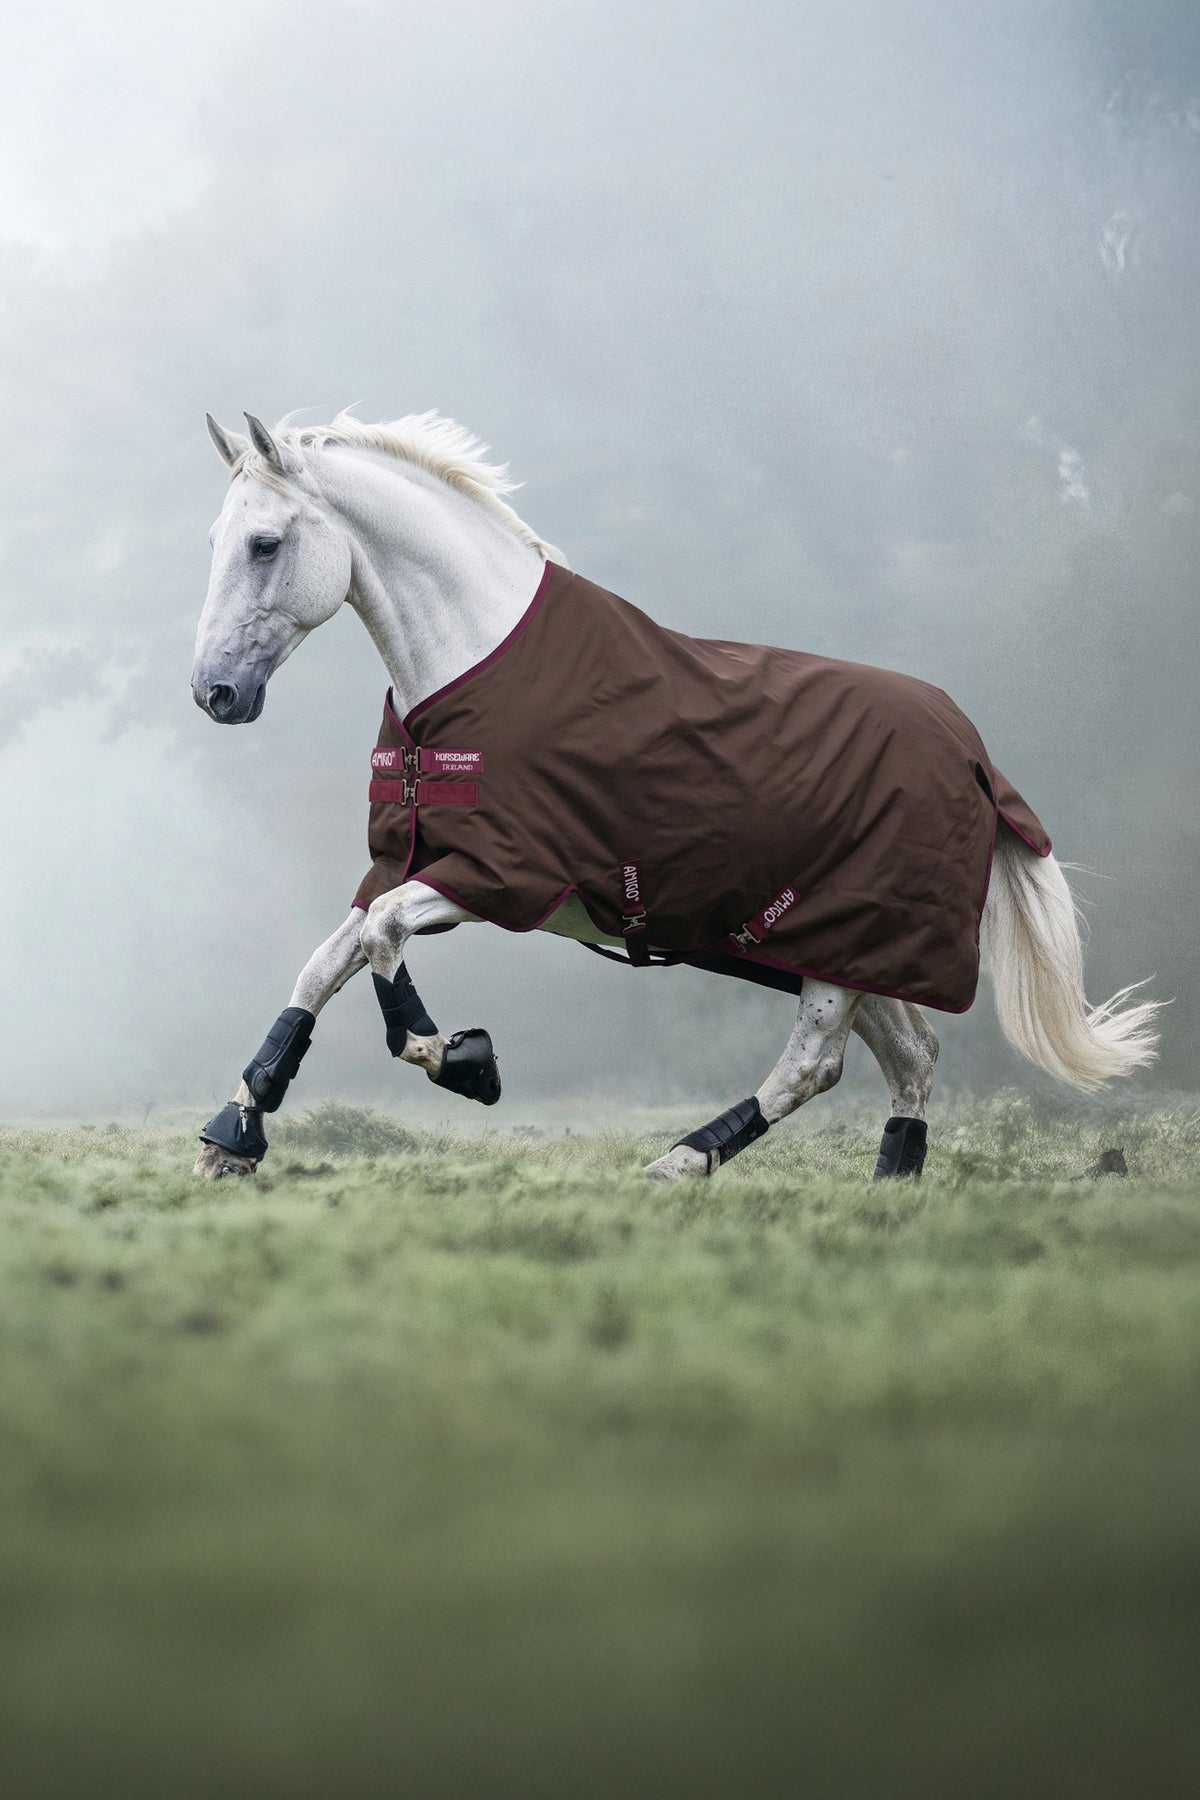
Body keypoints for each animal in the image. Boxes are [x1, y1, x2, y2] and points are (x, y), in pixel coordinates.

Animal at [190, 410, 1161, 1182]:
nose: (215, 693)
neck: (475, 672)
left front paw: (461, 1061)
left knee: (816, 1062)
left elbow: (383, 938)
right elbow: (324, 963)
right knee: (910, 1058)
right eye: (215, 542)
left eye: (265, 543)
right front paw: (233, 1136)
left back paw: (681, 1162)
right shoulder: (408, 863)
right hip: (846, 948)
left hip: (843, 939)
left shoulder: (499, 875)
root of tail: (972, 752)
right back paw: (891, 1183)